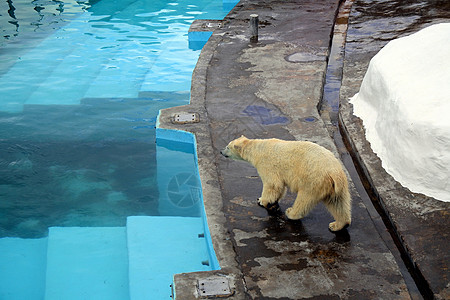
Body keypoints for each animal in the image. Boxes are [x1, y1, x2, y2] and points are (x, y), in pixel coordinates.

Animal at [221, 136, 352, 232]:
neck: (257, 149)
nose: (221, 151)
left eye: (227, 146)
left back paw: (291, 213)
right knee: (337, 203)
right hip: (336, 186)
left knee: (304, 199)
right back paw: (338, 225)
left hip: (313, 180)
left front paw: (262, 201)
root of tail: (333, 172)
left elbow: (272, 184)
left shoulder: (267, 165)